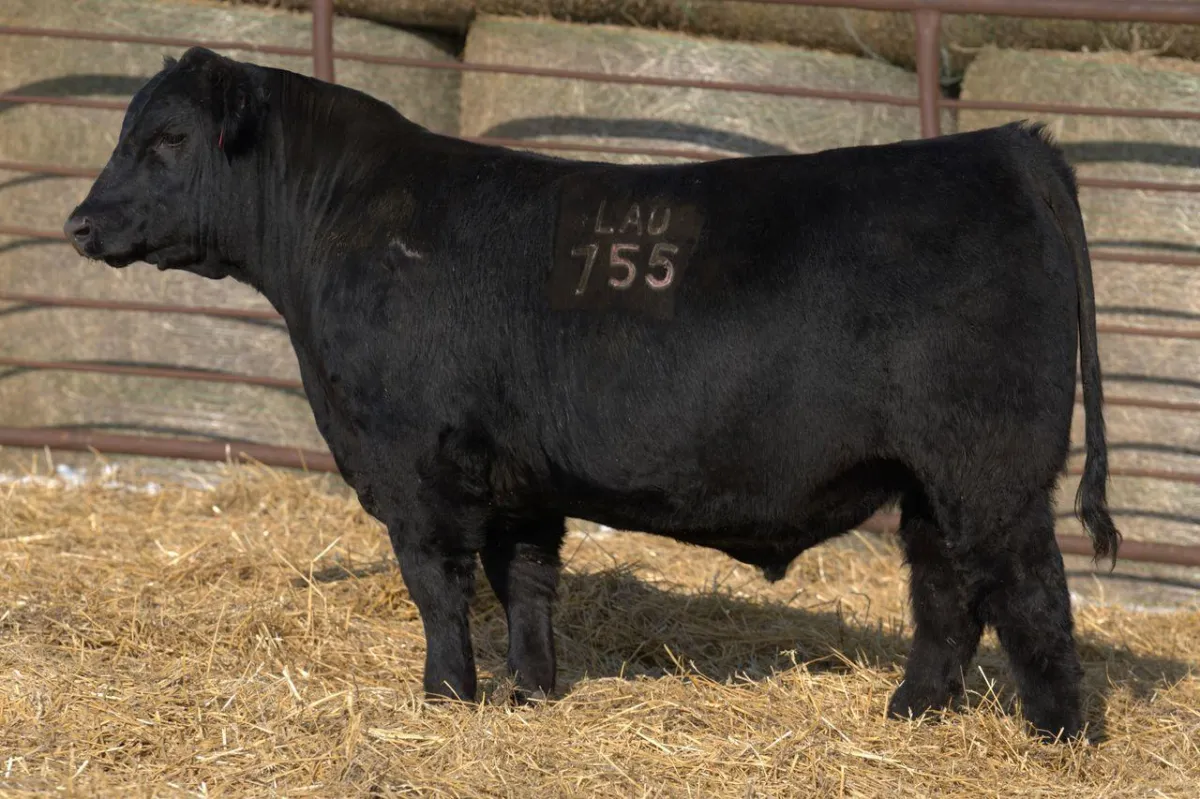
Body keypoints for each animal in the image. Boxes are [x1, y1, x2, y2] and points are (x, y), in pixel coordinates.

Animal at [64, 47, 1120, 743]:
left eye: (166, 140)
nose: (78, 222)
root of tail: (1009, 146)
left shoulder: (416, 465)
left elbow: (438, 587)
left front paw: (444, 698)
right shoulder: (516, 476)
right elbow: (525, 584)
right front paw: (531, 692)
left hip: (990, 465)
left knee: (1030, 589)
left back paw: (1058, 738)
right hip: (931, 477)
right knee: (947, 590)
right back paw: (909, 716)